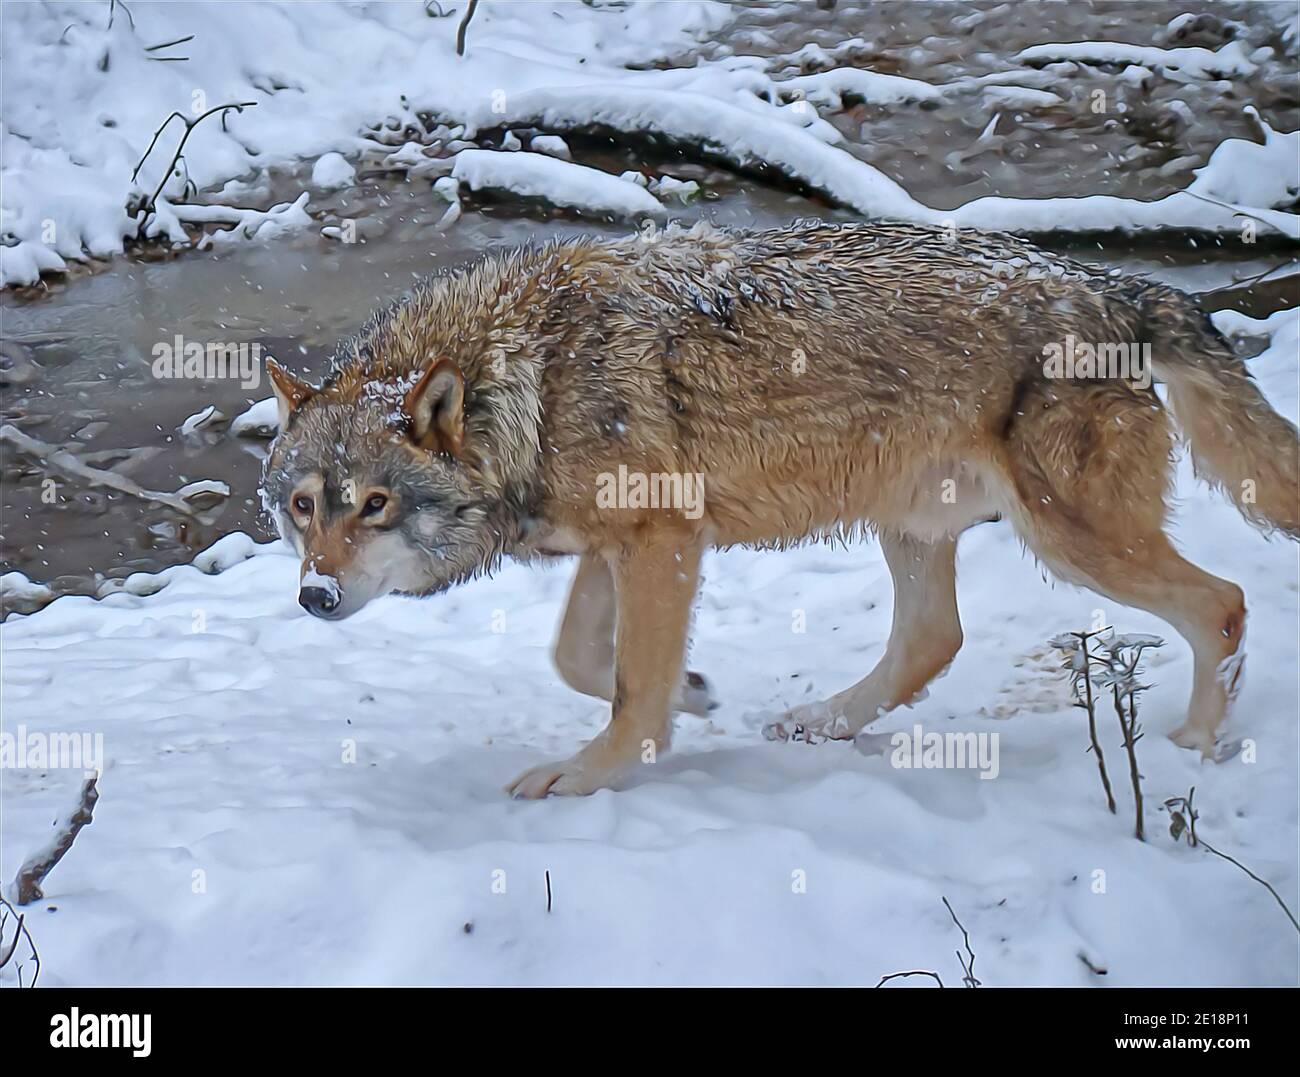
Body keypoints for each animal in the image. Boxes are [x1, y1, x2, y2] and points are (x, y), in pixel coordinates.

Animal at [263, 221, 1300, 790]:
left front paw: (592, 773)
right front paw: (692, 690)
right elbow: (584, 658)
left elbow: (626, 689)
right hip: (913, 521)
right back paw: (823, 722)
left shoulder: (660, 538)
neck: (526, 384)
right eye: (303, 507)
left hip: (1068, 537)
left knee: (1222, 604)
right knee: (934, 638)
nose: (314, 597)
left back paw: (1191, 749)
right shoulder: (625, 543)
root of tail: (1117, 285)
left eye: (376, 504)